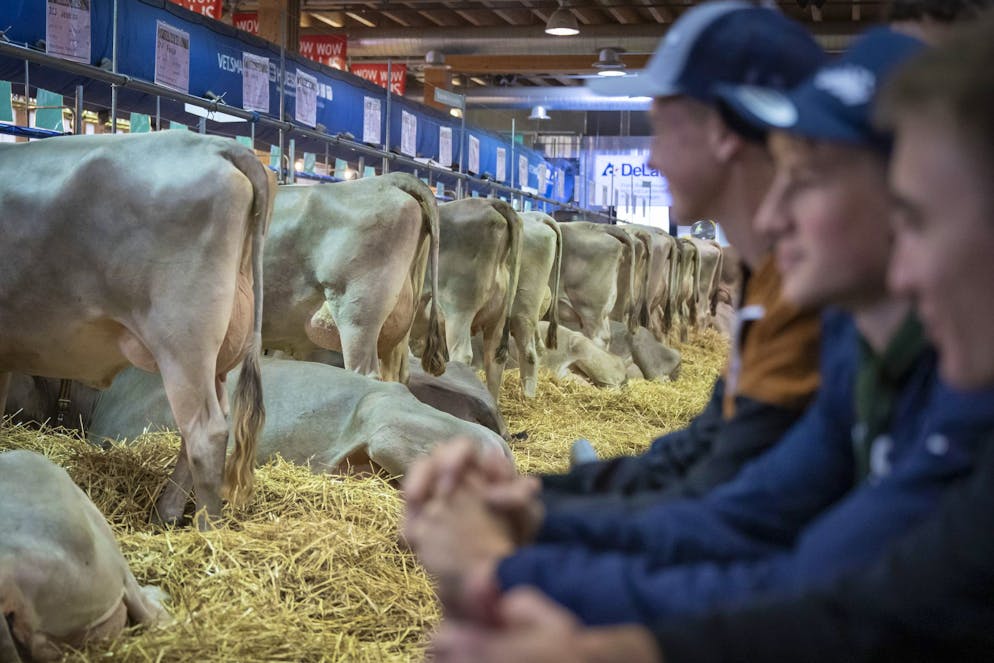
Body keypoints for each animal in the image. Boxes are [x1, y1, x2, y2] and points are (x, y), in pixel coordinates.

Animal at [0, 131, 272, 529]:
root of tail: (220, 145)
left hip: (183, 342)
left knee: (206, 433)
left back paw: (208, 531)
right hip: (219, 353)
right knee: (205, 424)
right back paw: (166, 515)